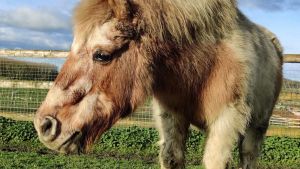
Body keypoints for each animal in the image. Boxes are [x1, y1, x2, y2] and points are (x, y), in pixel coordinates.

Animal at [34, 0, 282, 168]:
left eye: (102, 55)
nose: (44, 126)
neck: (205, 63)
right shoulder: (171, 115)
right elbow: (171, 158)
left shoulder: (226, 121)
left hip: (257, 127)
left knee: (249, 156)